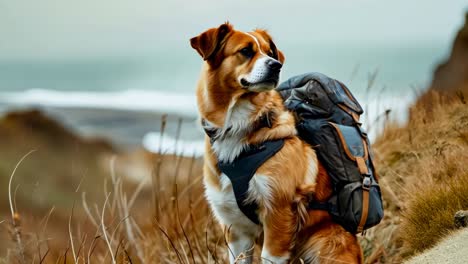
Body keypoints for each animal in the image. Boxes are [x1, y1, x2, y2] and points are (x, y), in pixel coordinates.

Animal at [190, 23, 362, 264]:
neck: (240, 126)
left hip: (325, 243)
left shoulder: (278, 215)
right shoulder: (235, 230)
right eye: (246, 51)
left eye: (269, 52)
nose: (276, 65)